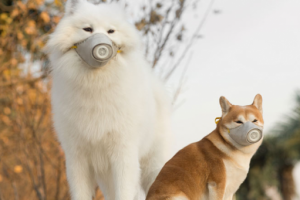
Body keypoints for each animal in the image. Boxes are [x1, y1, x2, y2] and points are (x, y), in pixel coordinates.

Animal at [43, 0, 172, 199]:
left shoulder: (123, 154)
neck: (95, 87)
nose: (102, 45)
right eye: (87, 29)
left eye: (111, 31)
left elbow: (124, 192)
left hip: (153, 165)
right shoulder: (77, 158)